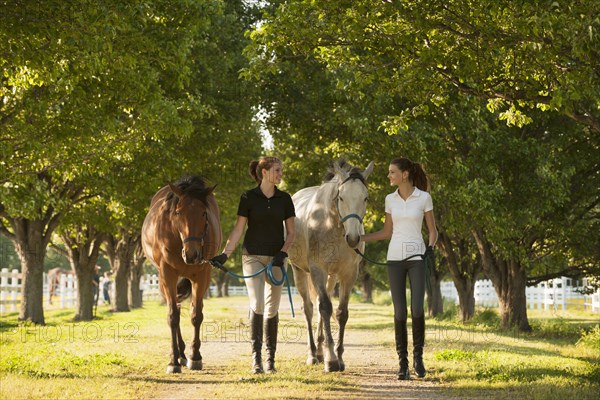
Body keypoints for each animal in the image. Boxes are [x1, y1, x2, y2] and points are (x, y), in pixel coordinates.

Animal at [142, 177, 221, 374]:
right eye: (178, 212)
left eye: (204, 213)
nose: (192, 254)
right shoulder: (167, 273)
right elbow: (172, 316)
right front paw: (173, 361)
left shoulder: (202, 275)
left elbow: (196, 315)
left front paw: (196, 357)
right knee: (175, 310)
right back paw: (179, 355)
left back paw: (185, 354)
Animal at [288, 159, 372, 372]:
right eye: (341, 197)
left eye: (365, 198)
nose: (353, 238)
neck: (329, 223)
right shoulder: (317, 270)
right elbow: (325, 307)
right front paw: (332, 359)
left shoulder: (349, 274)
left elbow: (341, 312)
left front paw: (339, 357)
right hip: (299, 271)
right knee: (309, 308)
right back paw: (312, 354)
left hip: (331, 277)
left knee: (318, 306)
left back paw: (319, 351)